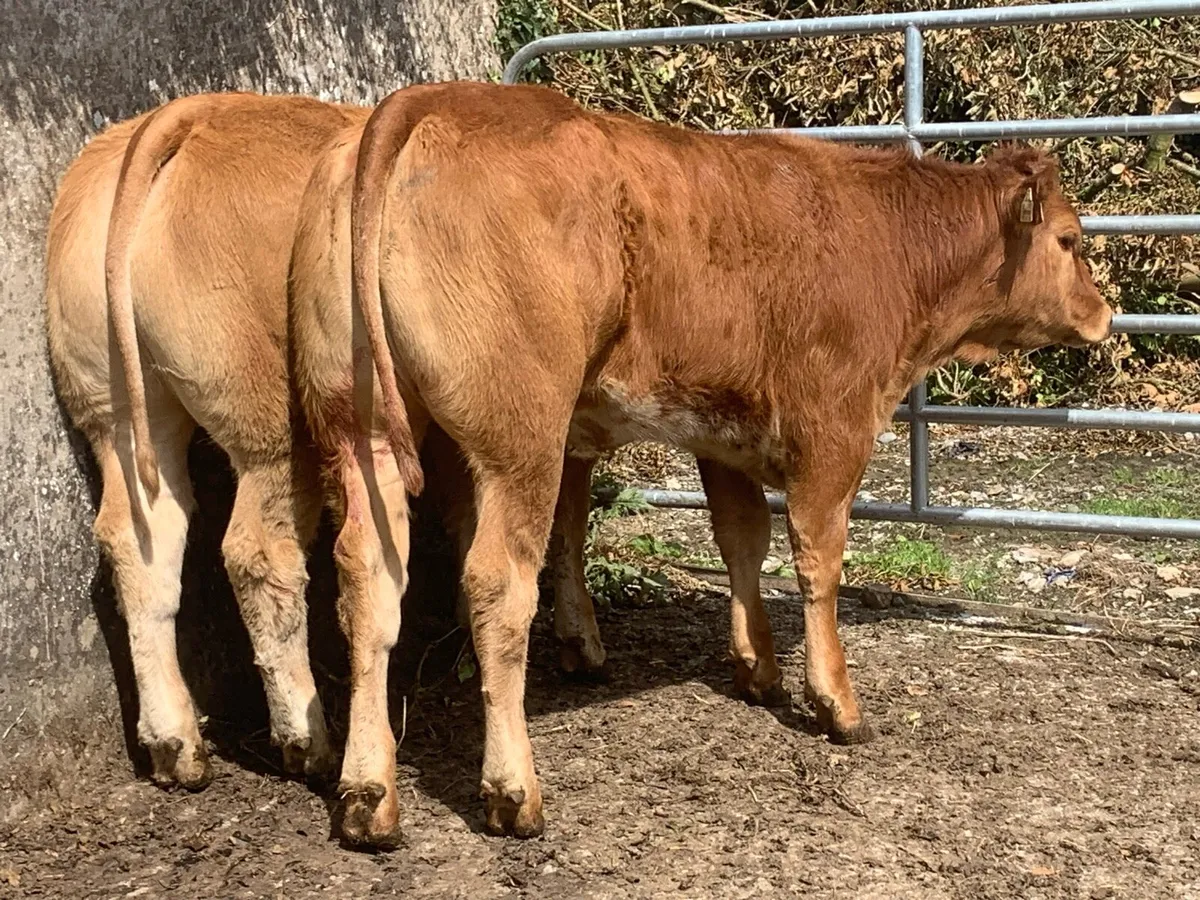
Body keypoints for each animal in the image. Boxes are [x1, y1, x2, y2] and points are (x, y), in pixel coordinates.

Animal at [290, 79, 1112, 844]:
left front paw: (757, 668)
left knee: (367, 583)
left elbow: (743, 542)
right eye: (1071, 241)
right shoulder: (834, 431)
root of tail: (428, 100)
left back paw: (367, 797)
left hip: (359, 429)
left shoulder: (726, 438)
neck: (889, 246)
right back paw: (513, 791)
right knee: (497, 584)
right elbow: (818, 562)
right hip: (520, 438)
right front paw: (836, 702)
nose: (1106, 313)